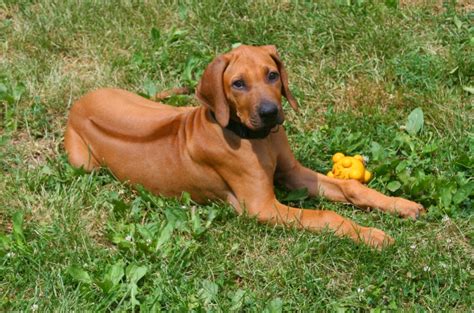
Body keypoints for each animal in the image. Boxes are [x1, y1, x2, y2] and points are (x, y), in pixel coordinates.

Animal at [65, 45, 424, 247]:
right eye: (238, 84)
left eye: (272, 75)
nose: (270, 113)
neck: (256, 139)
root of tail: (80, 102)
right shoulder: (263, 208)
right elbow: (326, 216)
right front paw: (372, 236)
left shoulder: (293, 174)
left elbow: (351, 188)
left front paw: (400, 204)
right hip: (83, 163)